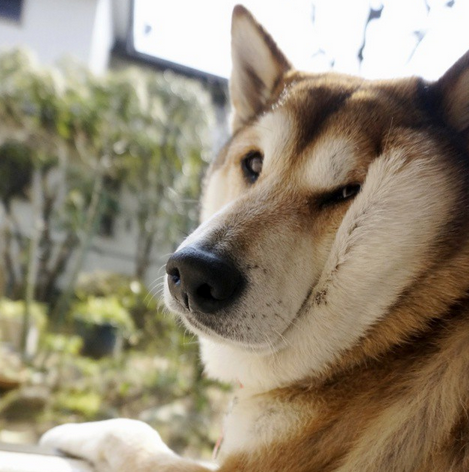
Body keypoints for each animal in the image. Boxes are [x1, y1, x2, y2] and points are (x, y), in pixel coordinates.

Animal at [39, 4, 468, 472]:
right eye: (253, 163)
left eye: (345, 193)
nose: (194, 272)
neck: (399, 336)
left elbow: (131, 432)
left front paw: (73, 430)